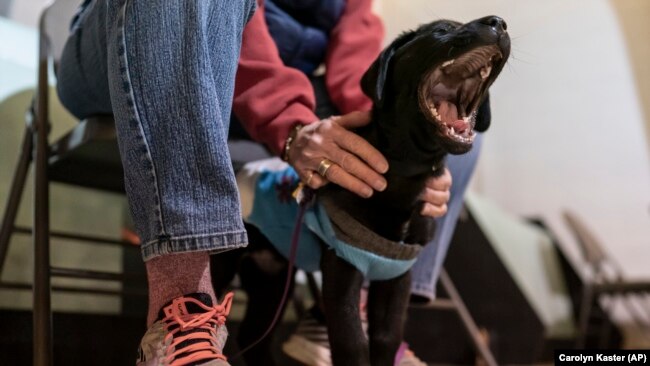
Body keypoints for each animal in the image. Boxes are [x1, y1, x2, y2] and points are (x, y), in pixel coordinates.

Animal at [211, 15, 506, 364]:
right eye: (442, 30)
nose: (499, 22)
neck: (405, 176)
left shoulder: (397, 275)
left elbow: (386, 337)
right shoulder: (342, 266)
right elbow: (352, 342)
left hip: (273, 275)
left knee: (253, 335)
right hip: (226, 266)